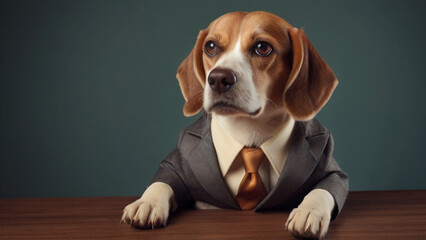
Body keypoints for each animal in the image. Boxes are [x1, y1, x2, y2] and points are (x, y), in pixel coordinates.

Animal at [121, 11, 348, 240]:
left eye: (262, 47)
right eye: (211, 47)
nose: (218, 78)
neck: (250, 135)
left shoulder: (332, 171)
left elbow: (324, 189)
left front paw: (310, 211)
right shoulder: (177, 164)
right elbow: (163, 181)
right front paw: (148, 202)